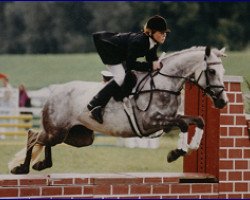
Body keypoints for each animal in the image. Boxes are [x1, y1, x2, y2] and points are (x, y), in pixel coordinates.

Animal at [9, 46, 229, 174]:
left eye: (223, 71)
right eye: (211, 71)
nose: (222, 102)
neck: (163, 83)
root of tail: (53, 93)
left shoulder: (169, 119)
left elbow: (199, 120)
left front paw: (192, 147)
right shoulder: (152, 122)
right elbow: (183, 124)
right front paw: (176, 153)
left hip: (79, 137)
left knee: (43, 139)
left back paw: (41, 165)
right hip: (58, 131)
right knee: (33, 135)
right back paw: (22, 168)